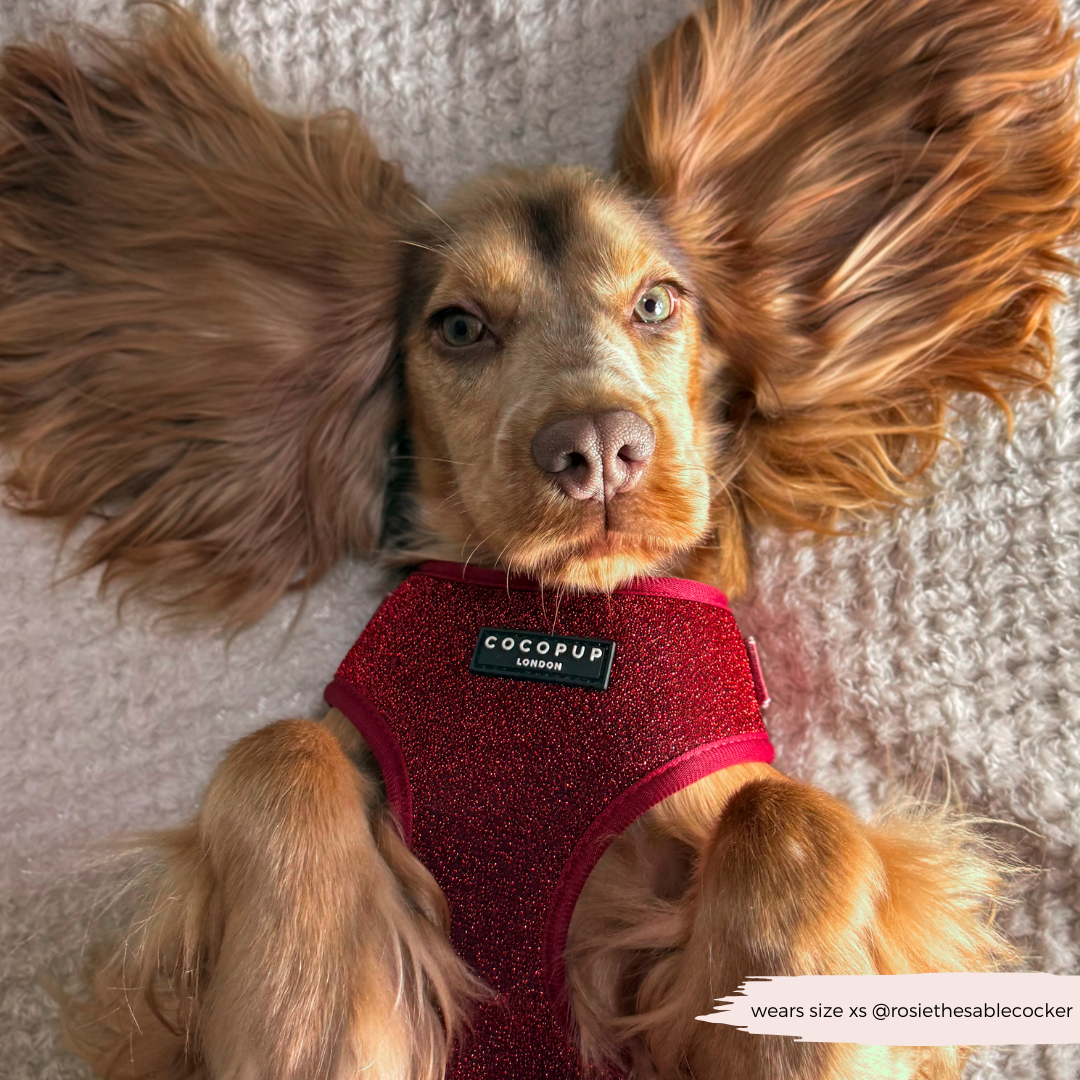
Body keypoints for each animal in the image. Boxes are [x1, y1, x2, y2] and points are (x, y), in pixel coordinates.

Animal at [0, 0, 1075, 1075]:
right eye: (459, 326)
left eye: (656, 302)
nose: (597, 449)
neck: (560, 621)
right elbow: (281, 756)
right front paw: (316, 1034)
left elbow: (788, 813)